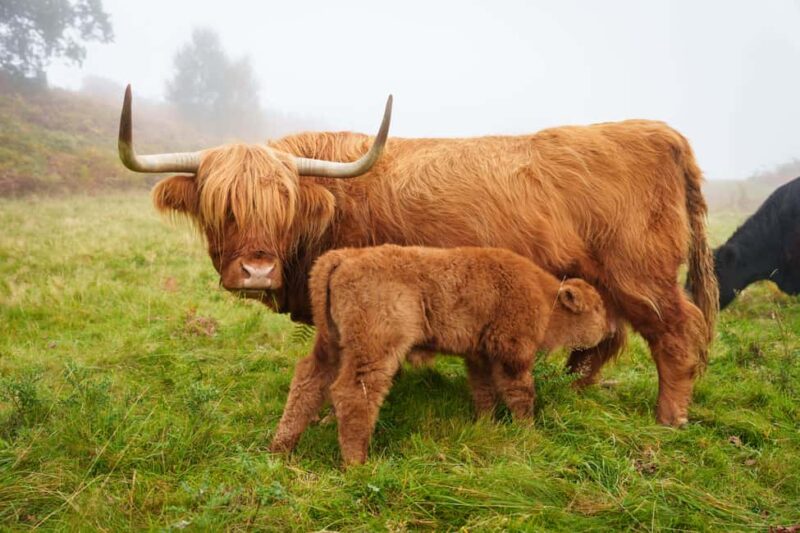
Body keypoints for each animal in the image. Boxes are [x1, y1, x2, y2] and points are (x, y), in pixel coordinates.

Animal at [117, 85, 718, 427]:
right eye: (221, 206)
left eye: (282, 206)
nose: (257, 270)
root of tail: (660, 132)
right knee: (607, 340)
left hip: (642, 276)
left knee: (674, 337)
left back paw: (669, 419)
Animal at [270, 244, 613, 465]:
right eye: (597, 308)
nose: (609, 330)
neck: (544, 296)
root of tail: (343, 257)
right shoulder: (512, 353)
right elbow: (520, 393)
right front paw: (528, 431)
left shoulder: (479, 355)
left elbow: (484, 391)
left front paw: (486, 426)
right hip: (373, 349)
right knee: (353, 393)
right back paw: (357, 463)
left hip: (332, 345)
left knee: (308, 381)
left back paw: (280, 449)